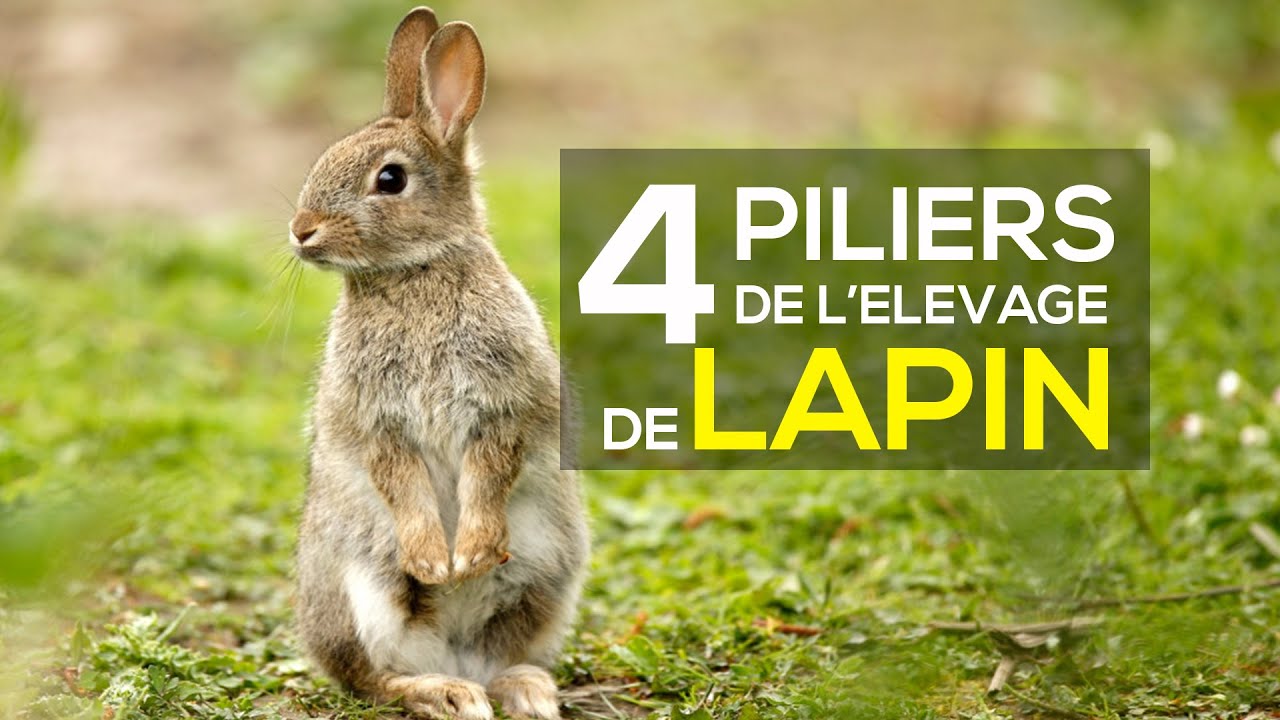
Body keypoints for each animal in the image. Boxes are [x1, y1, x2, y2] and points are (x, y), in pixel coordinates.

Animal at [287, 7, 589, 720]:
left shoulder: (503, 408)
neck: (414, 271)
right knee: (376, 679)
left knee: (498, 656)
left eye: (390, 179)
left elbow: (491, 470)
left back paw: (521, 690)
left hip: (546, 576)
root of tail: (452, 652)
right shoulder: (380, 423)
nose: (301, 230)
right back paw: (447, 692)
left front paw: (469, 554)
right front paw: (433, 563)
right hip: (362, 591)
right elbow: (400, 481)